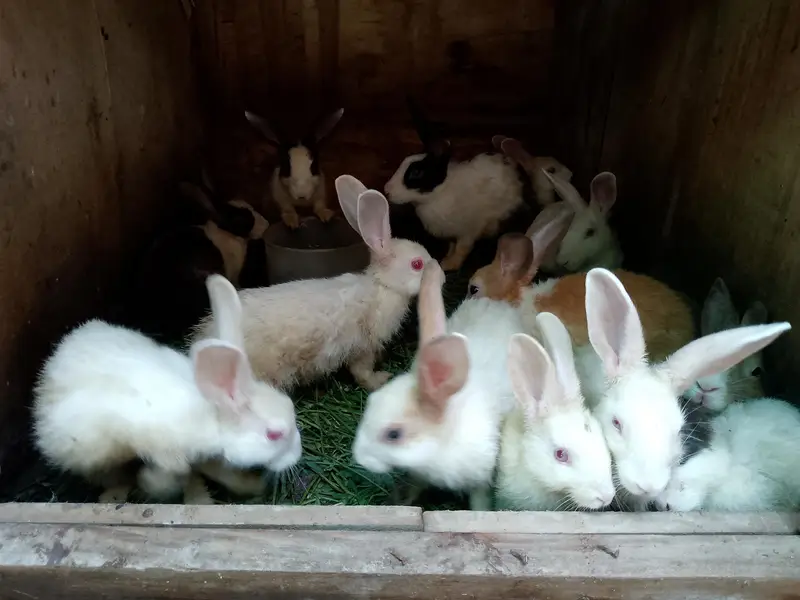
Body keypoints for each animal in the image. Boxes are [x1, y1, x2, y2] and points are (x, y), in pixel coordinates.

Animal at [32, 274, 301, 504]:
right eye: (274, 434)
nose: (296, 456)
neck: (211, 415)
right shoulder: (155, 441)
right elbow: (174, 470)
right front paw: (150, 483)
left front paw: (248, 487)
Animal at [190, 175, 433, 392]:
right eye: (417, 264)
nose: (437, 270)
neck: (382, 287)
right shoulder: (363, 347)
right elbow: (362, 372)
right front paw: (380, 379)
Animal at [352, 260, 525, 511]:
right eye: (371, 402)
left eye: (394, 434)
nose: (359, 457)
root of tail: (497, 304)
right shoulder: (420, 474)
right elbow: (415, 486)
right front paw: (404, 502)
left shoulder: (480, 478)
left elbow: (479, 501)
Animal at [383, 98, 537, 272]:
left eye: (416, 172)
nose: (386, 190)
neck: (439, 192)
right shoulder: (451, 235)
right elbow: (452, 246)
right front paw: (445, 259)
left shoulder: (469, 232)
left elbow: (462, 250)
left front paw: (450, 265)